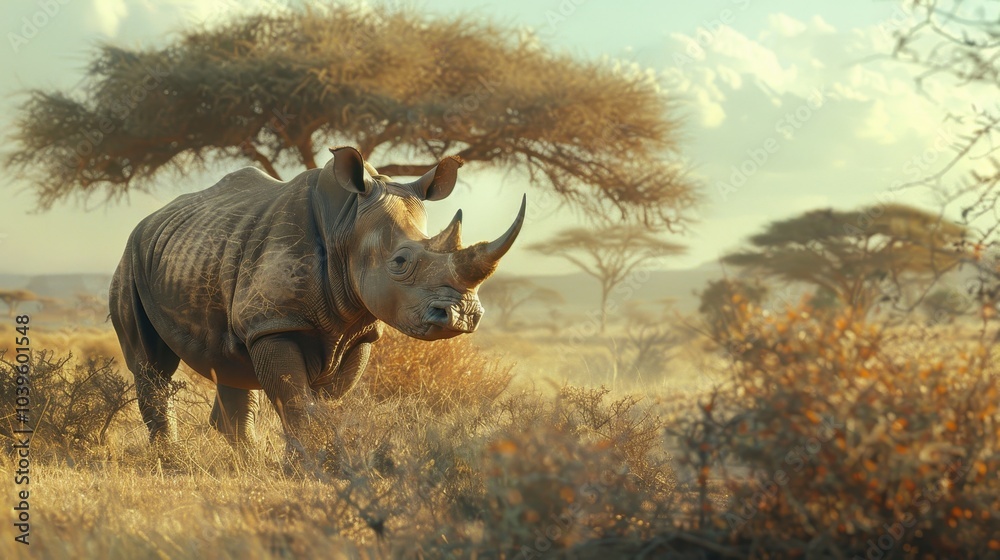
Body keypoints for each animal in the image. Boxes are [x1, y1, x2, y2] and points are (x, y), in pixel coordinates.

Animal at [109, 146, 524, 447]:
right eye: (401, 262)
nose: (463, 315)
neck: (347, 223)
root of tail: (148, 221)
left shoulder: (358, 331)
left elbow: (325, 403)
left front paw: (318, 461)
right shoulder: (275, 322)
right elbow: (295, 400)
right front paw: (307, 468)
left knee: (230, 360)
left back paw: (246, 461)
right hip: (132, 258)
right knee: (151, 364)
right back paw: (170, 459)